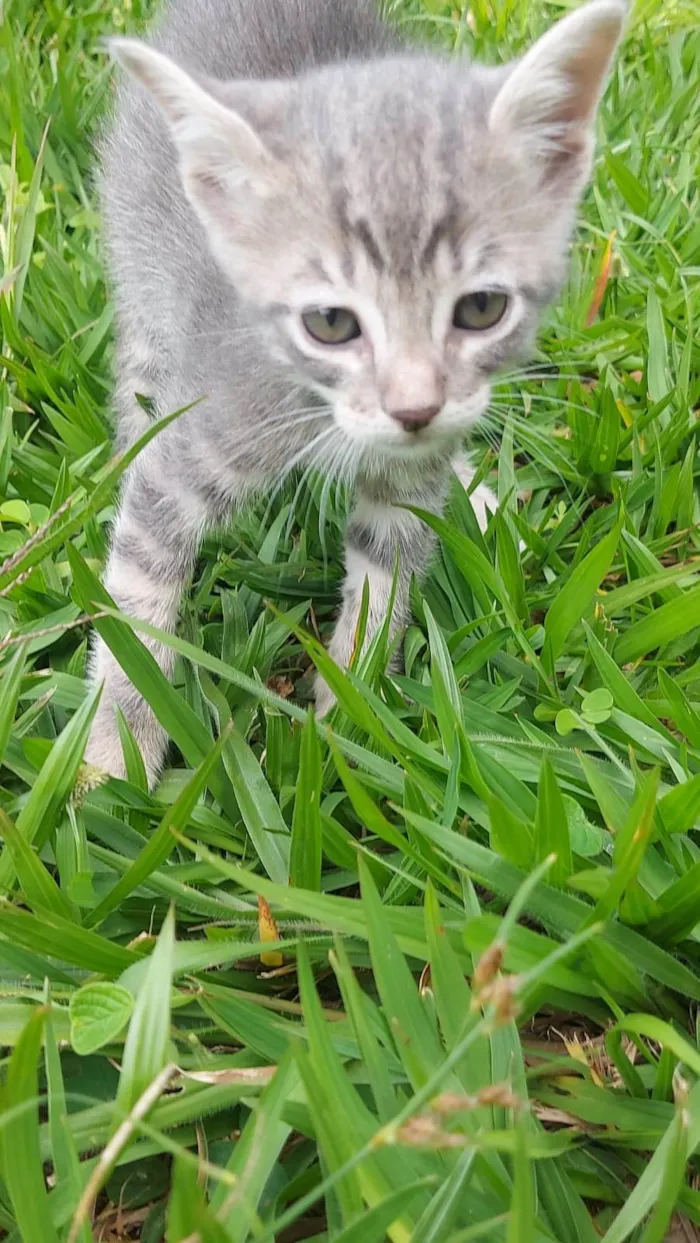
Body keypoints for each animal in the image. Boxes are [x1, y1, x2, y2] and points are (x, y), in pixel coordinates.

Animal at [86, 0, 624, 785]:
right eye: (331, 323)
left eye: (482, 308)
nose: (414, 409)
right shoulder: (198, 443)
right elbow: (138, 592)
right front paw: (113, 755)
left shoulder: (407, 481)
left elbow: (384, 579)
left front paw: (350, 711)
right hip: (142, 277)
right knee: (139, 378)